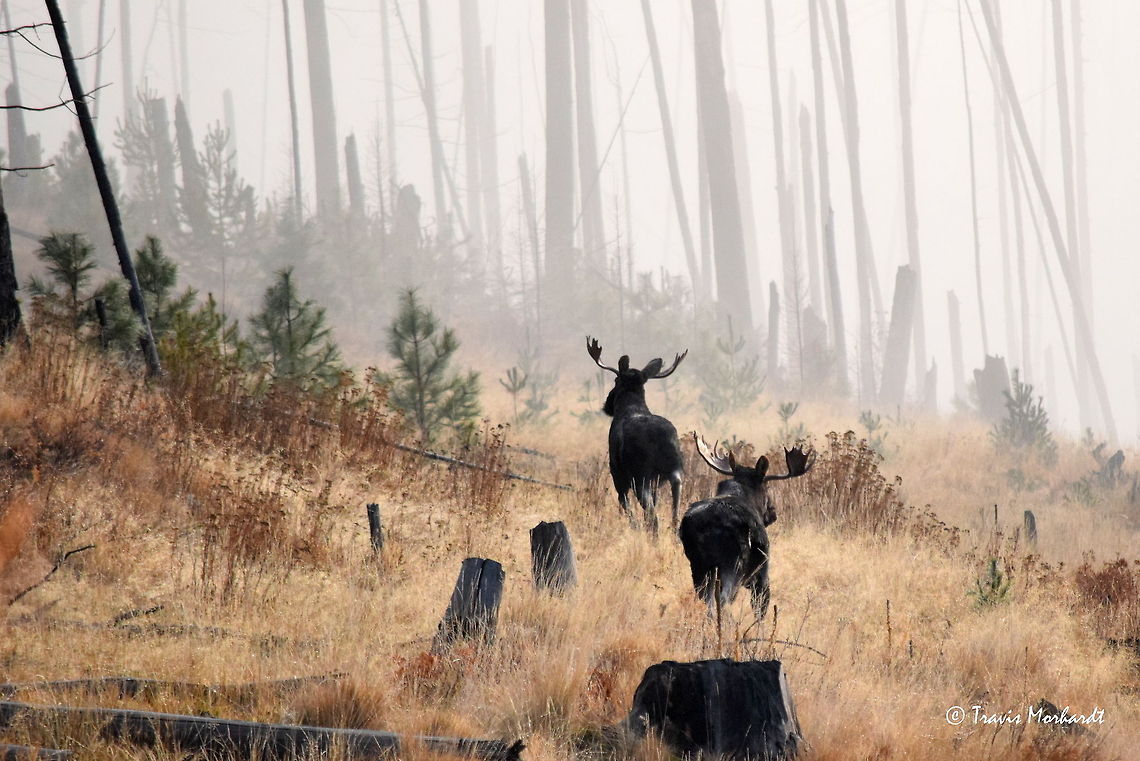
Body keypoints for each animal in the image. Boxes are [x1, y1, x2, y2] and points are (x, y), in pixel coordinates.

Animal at [586, 336, 688, 534]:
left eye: (616, 380)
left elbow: (624, 503)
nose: (607, 403)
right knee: (674, 506)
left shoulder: (617, 472)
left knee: (652, 516)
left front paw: (633, 527)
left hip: (641, 475)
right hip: (674, 469)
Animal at [679, 434, 814, 619]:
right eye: (767, 487)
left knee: (706, 601)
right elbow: (760, 608)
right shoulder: (762, 570)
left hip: (699, 564)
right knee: (723, 600)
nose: (773, 513)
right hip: (733, 564)